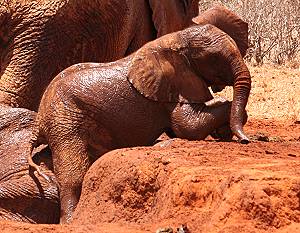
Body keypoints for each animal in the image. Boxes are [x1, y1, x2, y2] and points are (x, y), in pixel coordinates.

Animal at [28, 15, 252, 222]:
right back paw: (71, 220)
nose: (245, 140)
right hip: (65, 119)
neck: (177, 38)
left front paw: (224, 131)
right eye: (214, 59)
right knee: (73, 177)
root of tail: (39, 119)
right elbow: (187, 126)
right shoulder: (174, 85)